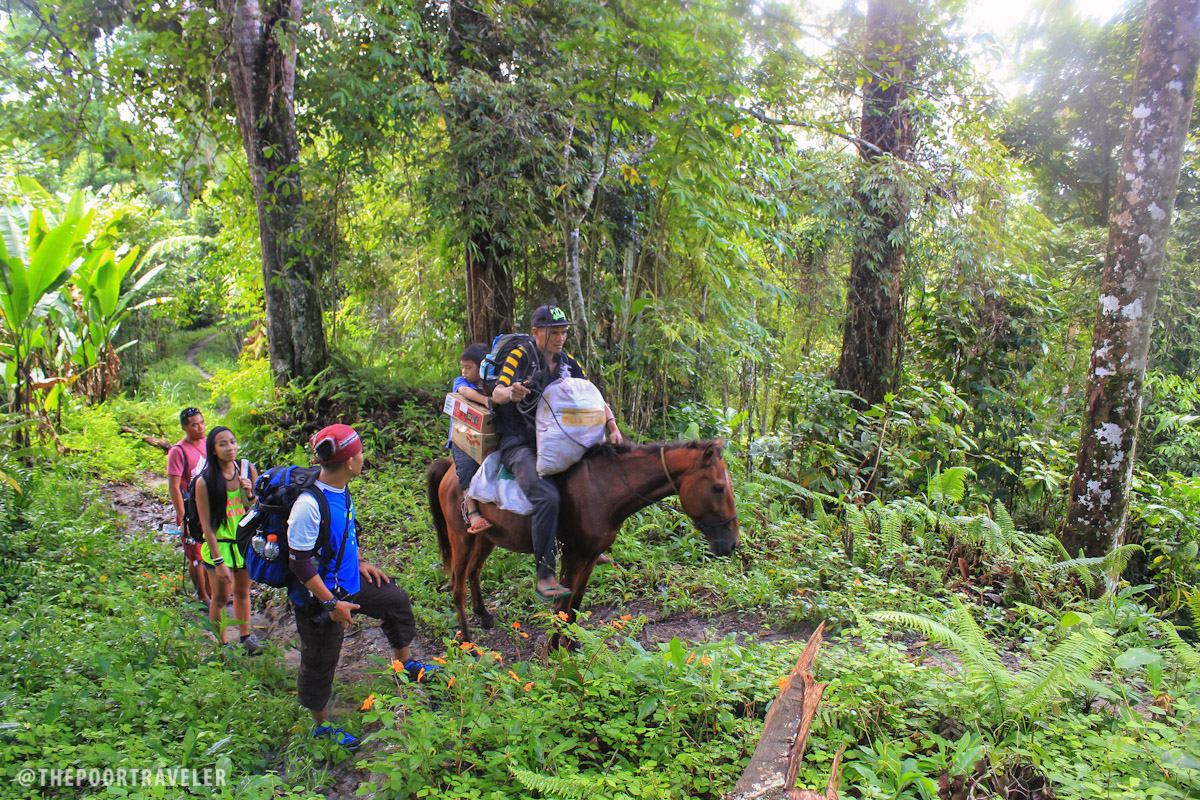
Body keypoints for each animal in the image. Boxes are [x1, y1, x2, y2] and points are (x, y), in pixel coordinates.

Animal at [426, 440, 740, 641]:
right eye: (718, 487)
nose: (733, 543)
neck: (604, 488)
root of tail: (451, 469)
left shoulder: (589, 556)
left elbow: (574, 606)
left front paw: (571, 647)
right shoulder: (573, 555)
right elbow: (561, 607)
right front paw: (555, 653)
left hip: (485, 536)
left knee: (474, 572)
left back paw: (484, 615)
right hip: (460, 537)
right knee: (457, 585)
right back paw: (468, 642)